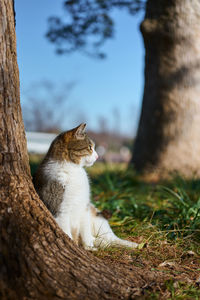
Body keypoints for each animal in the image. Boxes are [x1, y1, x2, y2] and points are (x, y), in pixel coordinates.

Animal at [33, 123, 138, 251]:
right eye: (90, 147)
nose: (98, 156)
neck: (74, 170)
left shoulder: (84, 207)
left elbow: (85, 232)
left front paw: (89, 247)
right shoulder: (60, 210)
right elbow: (67, 233)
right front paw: (75, 247)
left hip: (96, 218)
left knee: (112, 238)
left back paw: (134, 244)